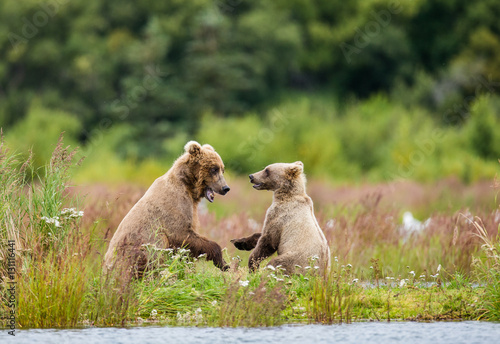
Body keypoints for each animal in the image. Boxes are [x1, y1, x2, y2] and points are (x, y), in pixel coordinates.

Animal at [106, 141, 231, 278]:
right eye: (214, 169)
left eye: (222, 169)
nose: (225, 188)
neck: (188, 186)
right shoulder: (175, 205)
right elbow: (182, 234)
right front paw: (223, 263)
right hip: (134, 249)